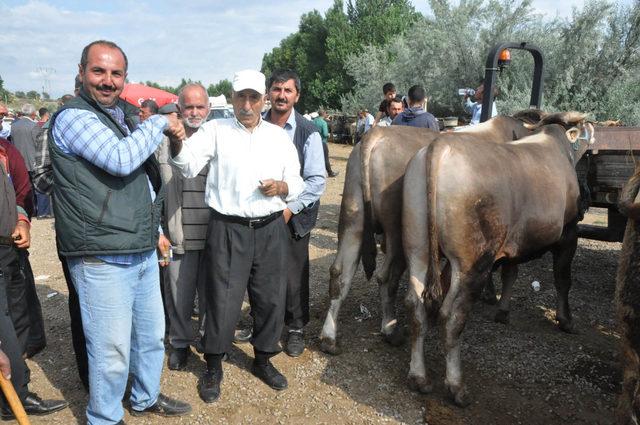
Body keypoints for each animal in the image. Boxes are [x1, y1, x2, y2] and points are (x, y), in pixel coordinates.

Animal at [420, 112, 596, 404]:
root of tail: (442, 148)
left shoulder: (515, 243)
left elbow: (510, 274)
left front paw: (503, 311)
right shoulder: (569, 234)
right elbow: (563, 279)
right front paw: (566, 320)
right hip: (473, 264)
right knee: (452, 317)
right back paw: (457, 386)